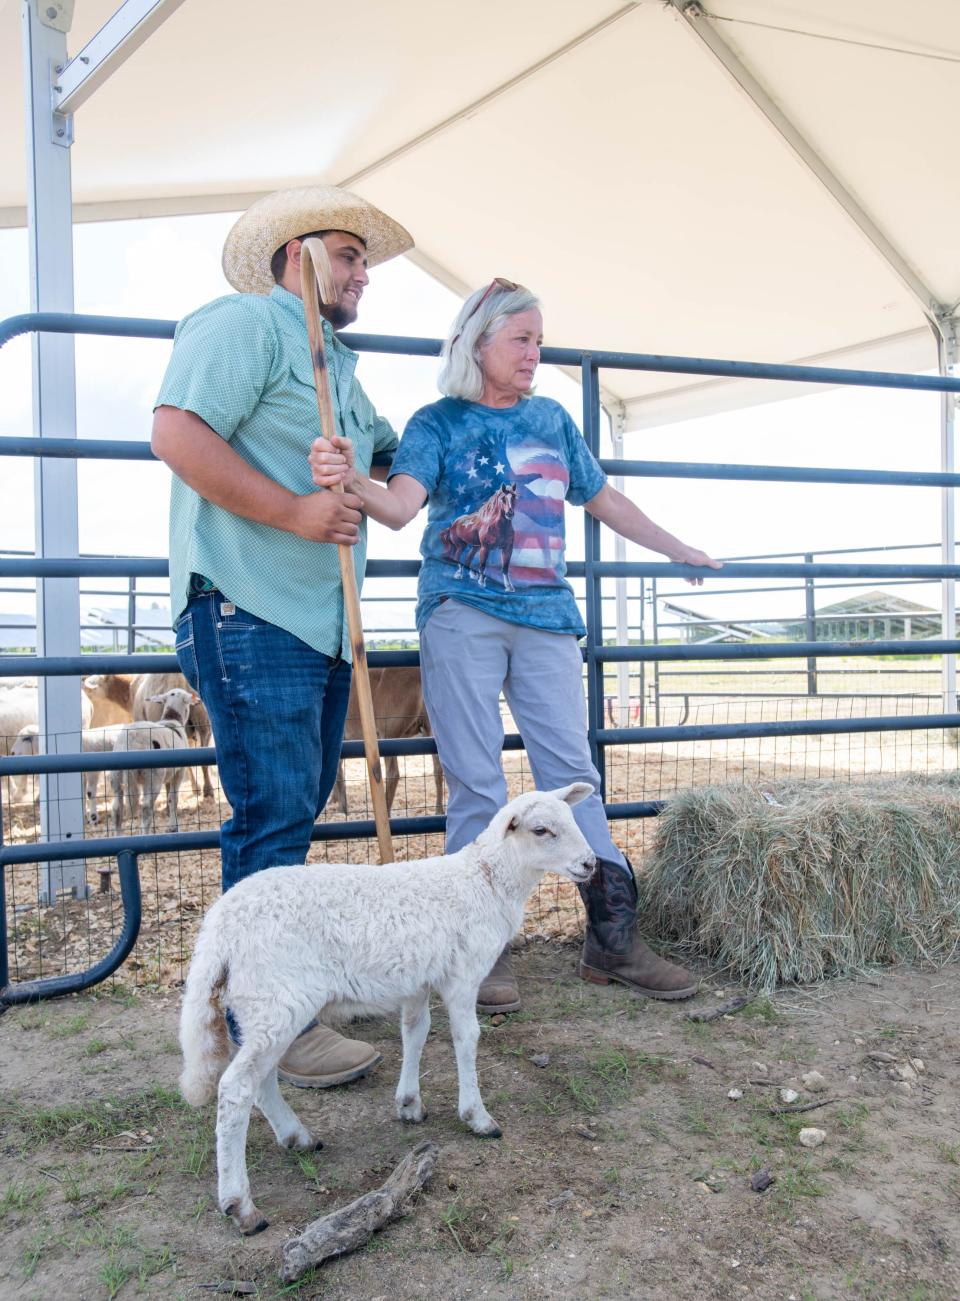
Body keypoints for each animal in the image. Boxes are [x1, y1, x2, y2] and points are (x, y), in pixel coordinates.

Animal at [109, 681, 195, 832]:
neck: (172, 719)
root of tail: (130, 741)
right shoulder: (179, 772)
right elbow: (173, 799)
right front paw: (173, 826)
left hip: (117, 776)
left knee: (116, 809)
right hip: (153, 777)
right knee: (146, 807)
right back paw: (145, 832)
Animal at [178, 775, 595, 1233]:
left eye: (571, 818)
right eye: (541, 830)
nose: (591, 864)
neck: (485, 881)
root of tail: (219, 926)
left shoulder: (417, 980)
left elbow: (415, 1032)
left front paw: (409, 1104)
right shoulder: (464, 974)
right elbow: (466, 1038)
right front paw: (477, 1116)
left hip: (264, 1007)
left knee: (260, 1078)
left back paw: (296, 1136)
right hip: (277, 995)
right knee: (235, 1088)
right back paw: (240, 1203)